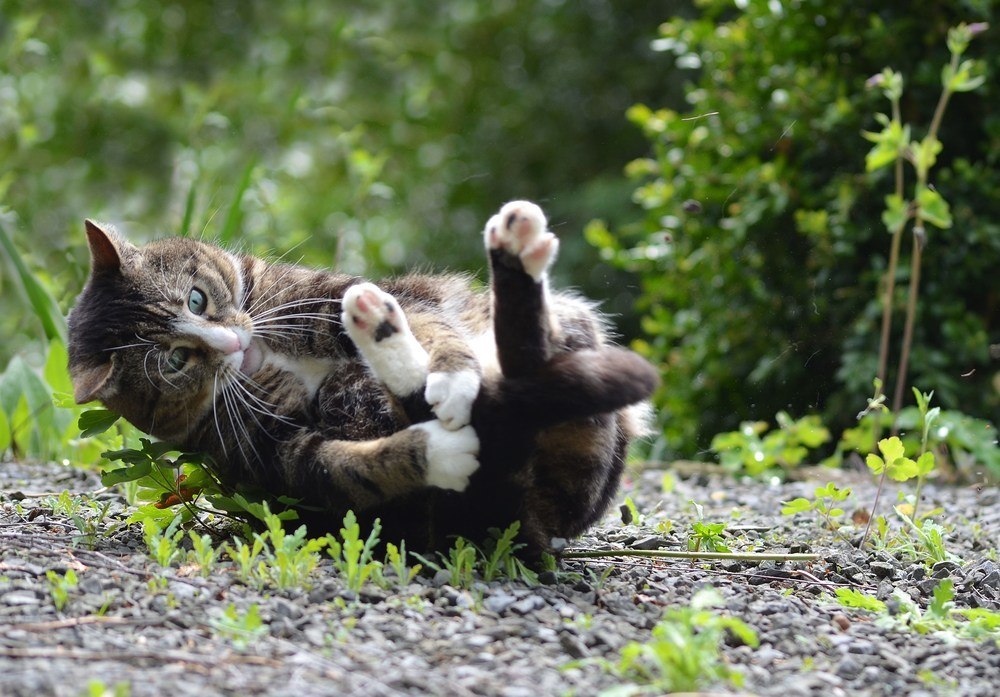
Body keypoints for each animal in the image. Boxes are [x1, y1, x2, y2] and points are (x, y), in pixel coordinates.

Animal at [68, 200, 656, 548]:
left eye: (197, 299)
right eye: (175, 360)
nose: (232, 343)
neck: (266, 358)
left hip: (575, 328)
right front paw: (440, 451)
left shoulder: (323, 296)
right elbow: (343, 467)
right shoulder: (268, 453)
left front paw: (451, 377)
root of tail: (534, 521)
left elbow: (432, 326)